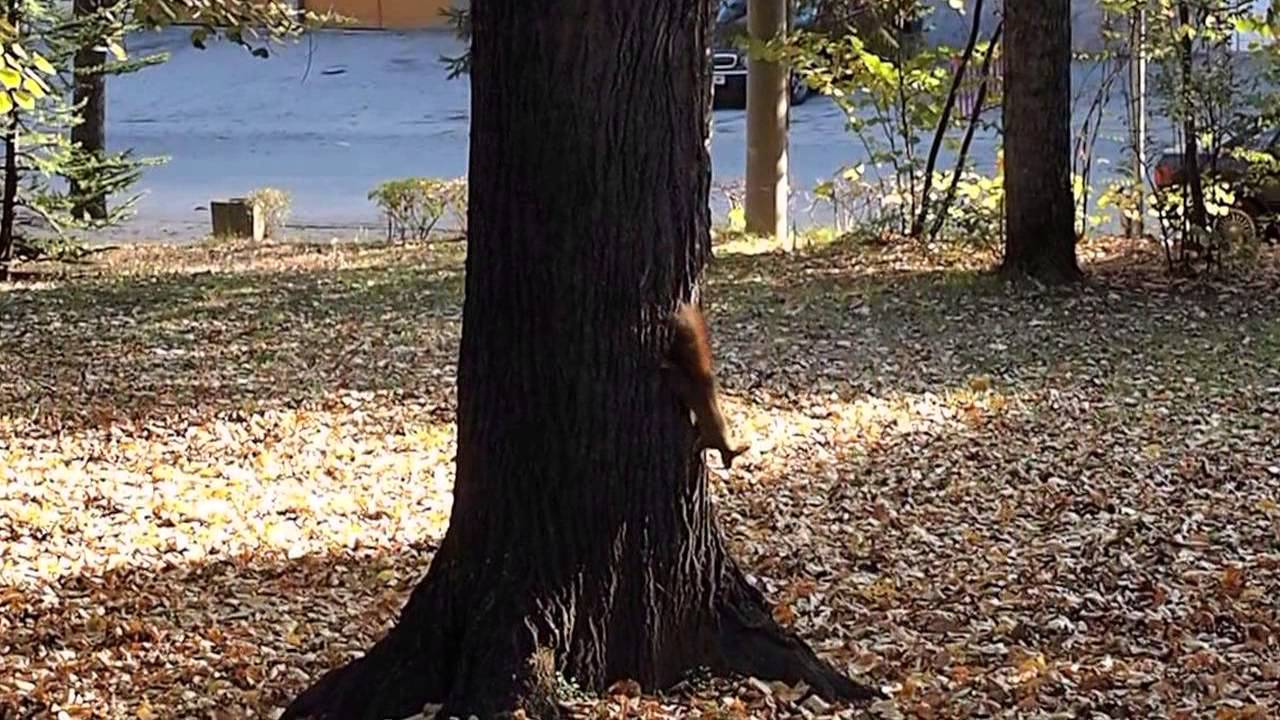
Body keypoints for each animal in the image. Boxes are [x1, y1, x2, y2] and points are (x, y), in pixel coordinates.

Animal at [662, 301, 750, 469]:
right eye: (731, 456)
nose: (727, 467)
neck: (724, 440)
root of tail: (702, 379)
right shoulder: (709, 438)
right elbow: (700, 444)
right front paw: (695, 451)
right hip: (684, 386)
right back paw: (665, 365)